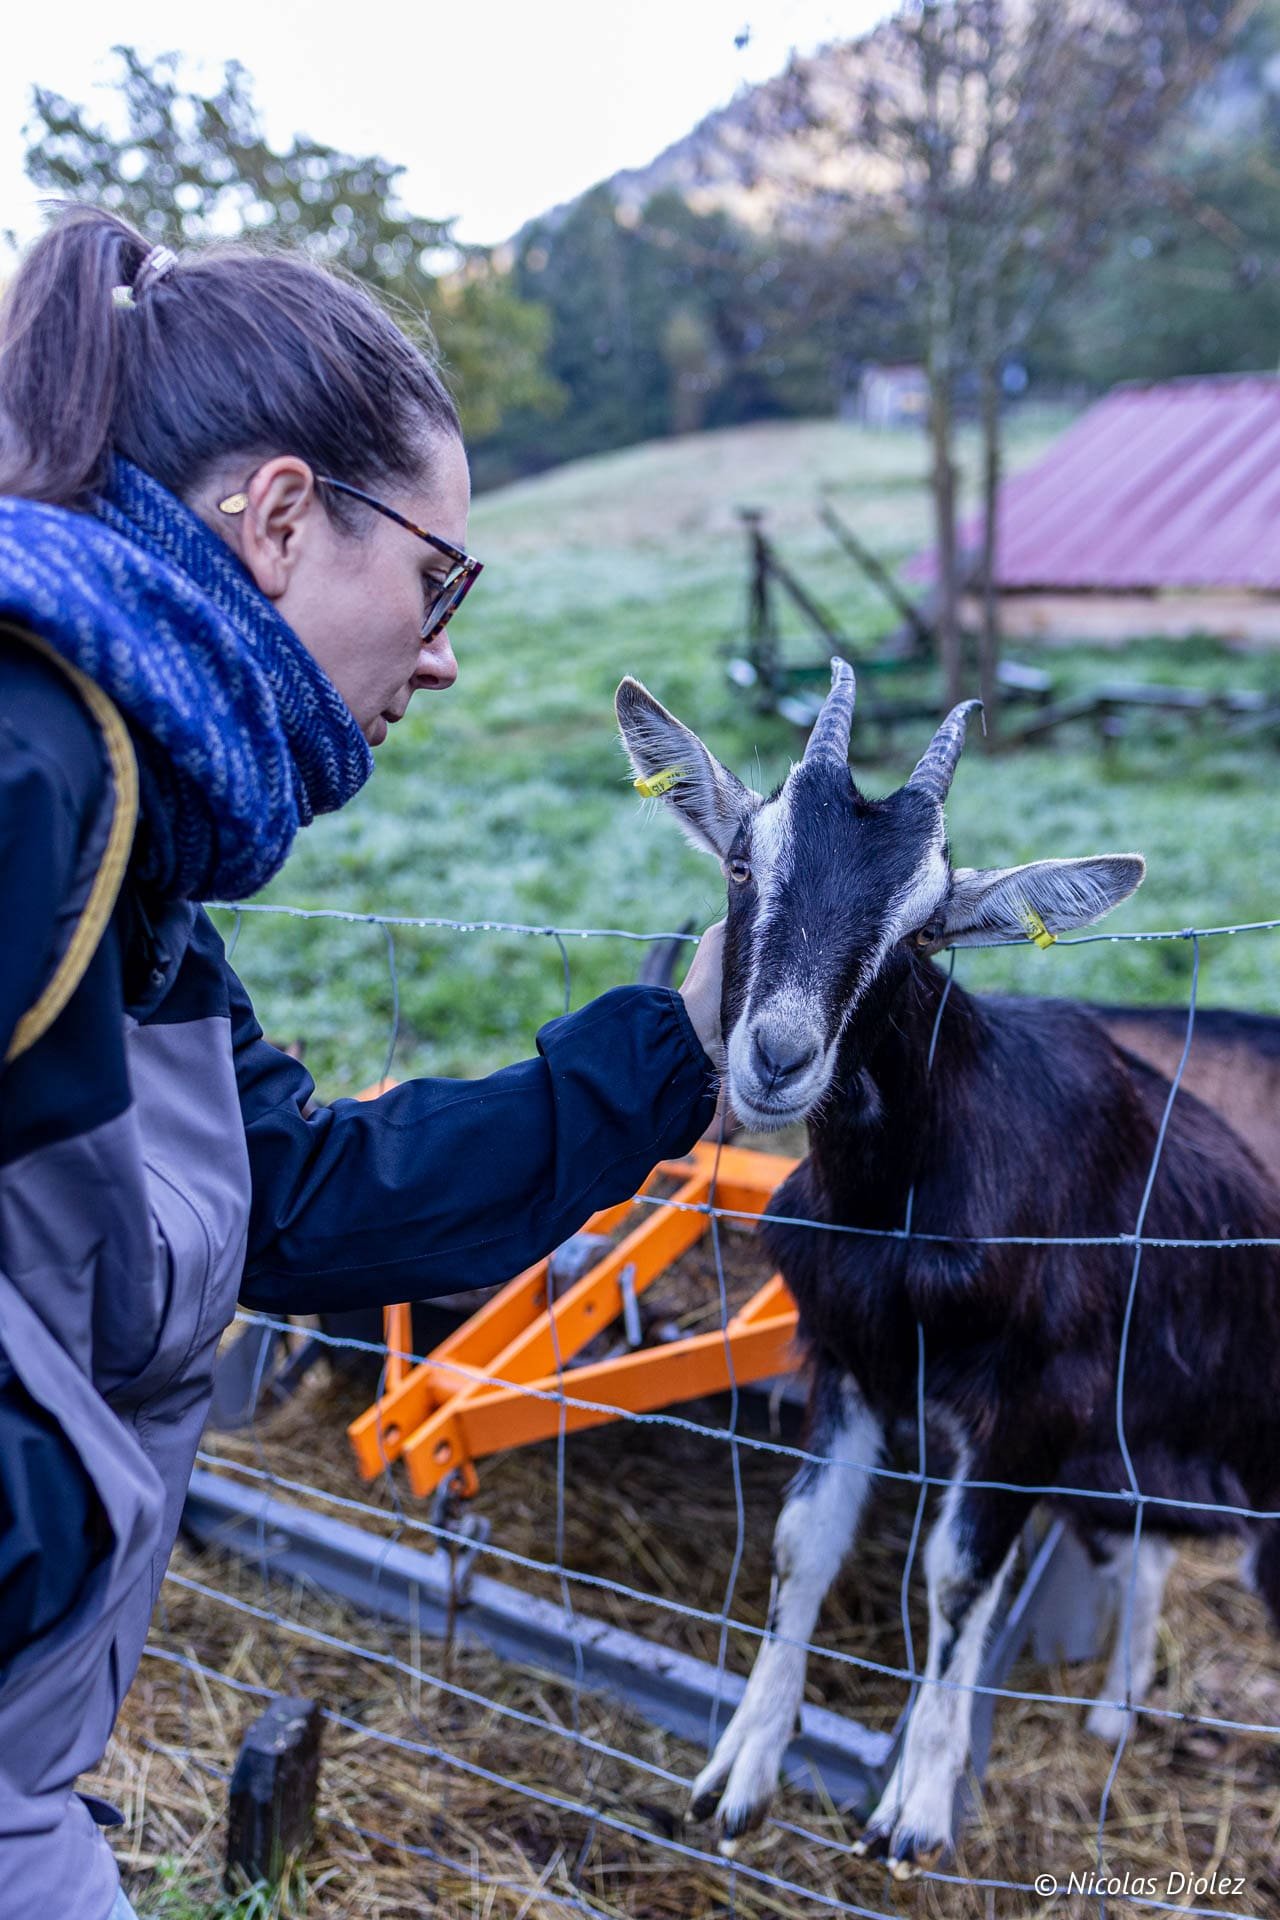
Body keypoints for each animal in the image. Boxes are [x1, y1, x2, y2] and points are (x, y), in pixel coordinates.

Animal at [617, 660, 1280, 1876]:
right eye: (742, 862)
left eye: (924, 930)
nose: (777, 1058)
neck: (898, 1209)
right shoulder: (850, 1364)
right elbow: (802, 1545)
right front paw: (741, 1769)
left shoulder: (1033, 1410)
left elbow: (957, 1578)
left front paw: (915, 1808)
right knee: (1142, 1553)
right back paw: (1114, 1710)